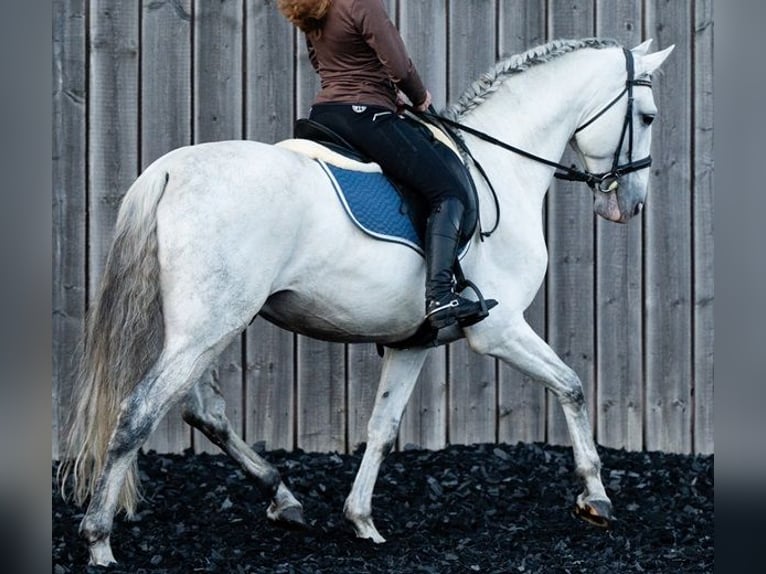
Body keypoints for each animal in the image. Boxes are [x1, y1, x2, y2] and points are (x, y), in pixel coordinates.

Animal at [59, 37, 674, 566]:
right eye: (647, 116)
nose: (630, 205)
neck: (498, 168)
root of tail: (169, 170)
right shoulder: (498, 331)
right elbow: (571, 385)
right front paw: (596, 497)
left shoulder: (413, 342)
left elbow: (382, 425)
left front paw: (360, 520)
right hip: (205, 330)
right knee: (139, 413)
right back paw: (99, 540)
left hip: (206, 331)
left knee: (202, 411)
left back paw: (283, 497)